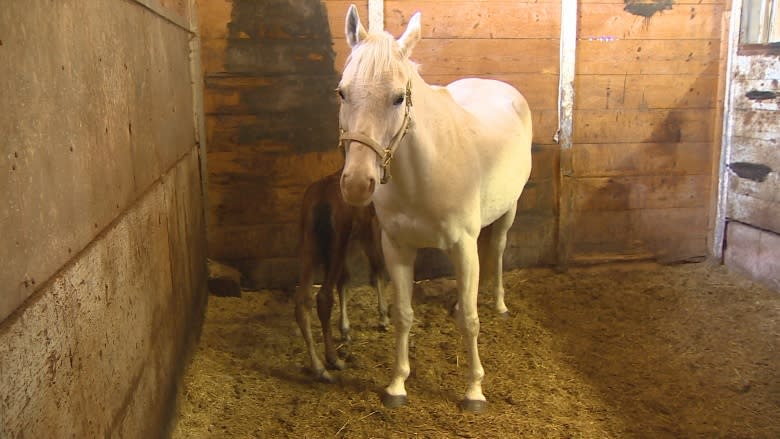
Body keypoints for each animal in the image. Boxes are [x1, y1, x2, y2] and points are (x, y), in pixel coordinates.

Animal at [338, 5, 532, 414]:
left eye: (398, 97)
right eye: (342, 92)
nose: (357, 183)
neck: (421, 175)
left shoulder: (462, 245)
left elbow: (472, 322)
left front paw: (474, 391)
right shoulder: (396, 247)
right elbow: (403, 315)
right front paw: (397, 384)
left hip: (509, 211)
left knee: (498, 250)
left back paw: (500, 304)